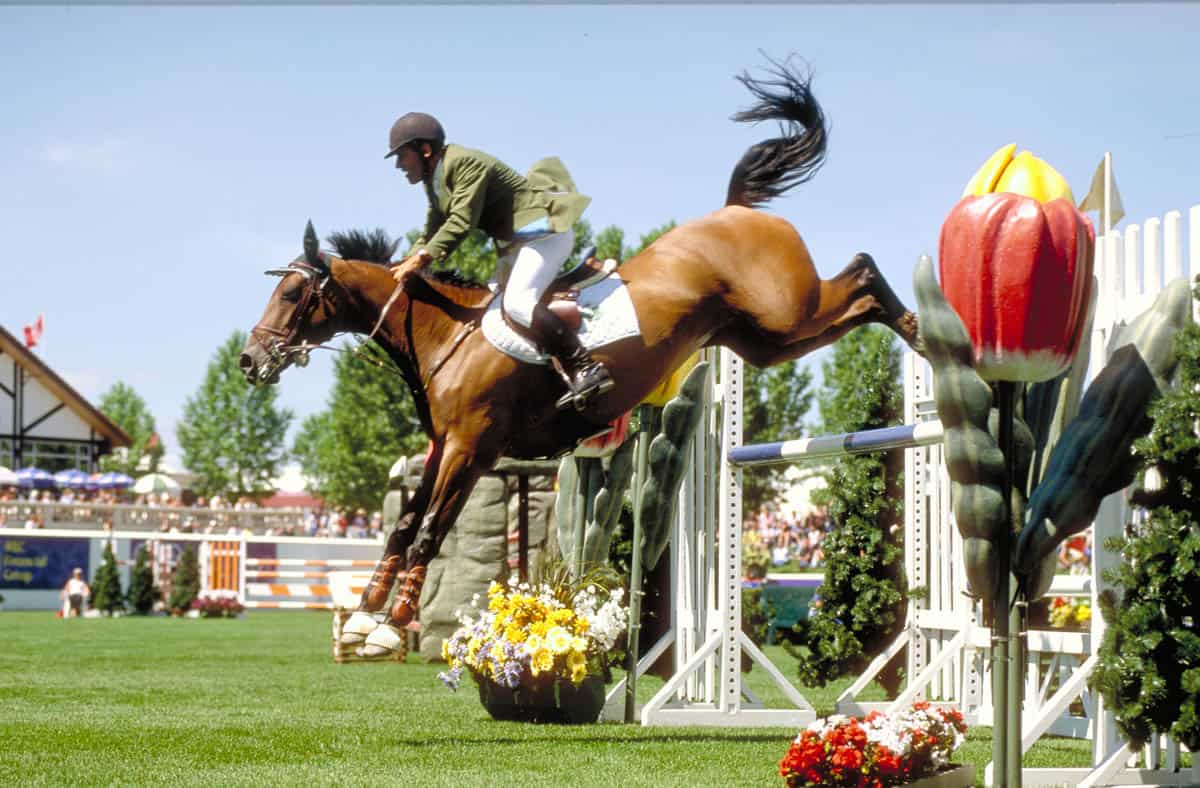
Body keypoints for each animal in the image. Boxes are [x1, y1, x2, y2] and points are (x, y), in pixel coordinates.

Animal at [238, 61, 921, 652]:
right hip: (762, 339)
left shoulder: (471, 449)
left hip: (787, 312)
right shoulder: (441, 446)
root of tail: (735, 211)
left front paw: (390, 624)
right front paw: (363, 615)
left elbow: (431, 528)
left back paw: (918, 329)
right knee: (849, 294)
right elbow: (405, 524)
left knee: (862, 271)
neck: (446, 335)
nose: (249, 360)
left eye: (293, 293)